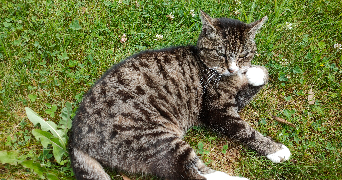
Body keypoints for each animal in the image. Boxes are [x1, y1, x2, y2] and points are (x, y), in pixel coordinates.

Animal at [69, 10, 292, 179]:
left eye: (243, 54)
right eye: (220, 53)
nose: (232, 68)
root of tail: (75, 137)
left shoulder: (235, 99)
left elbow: (261, 74)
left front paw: (254, 72)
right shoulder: (217, 111)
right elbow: (245, 131)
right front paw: (276, 150)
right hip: (156, 139)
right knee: (187, 172)